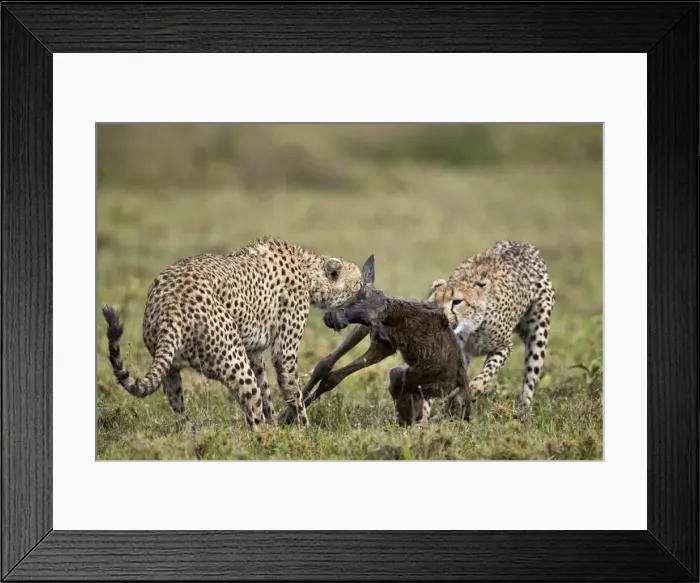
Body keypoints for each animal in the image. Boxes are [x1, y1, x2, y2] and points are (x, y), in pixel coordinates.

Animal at [101, 235, 366, 431]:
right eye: (360, 283)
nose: (367, 290)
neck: (307, 268)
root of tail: (170, 305)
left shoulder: (254, 351)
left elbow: (265, 387)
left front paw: (276, 423)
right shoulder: (284, 352)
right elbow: (291, 389)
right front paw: (303, 430)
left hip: (172, 367)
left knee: (178, 403)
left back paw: (189, 433)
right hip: (233, 361)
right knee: (252, 414)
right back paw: (264, 439)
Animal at [429, 239, 555, 413]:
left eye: (457, 301)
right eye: (435, 303)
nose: (440, 317)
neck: (471, 328)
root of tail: (520, 243)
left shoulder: (503, 346)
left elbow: (483, 378)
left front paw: (466, 395)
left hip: (538, 330)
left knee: (531, 373)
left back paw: (523, 407)